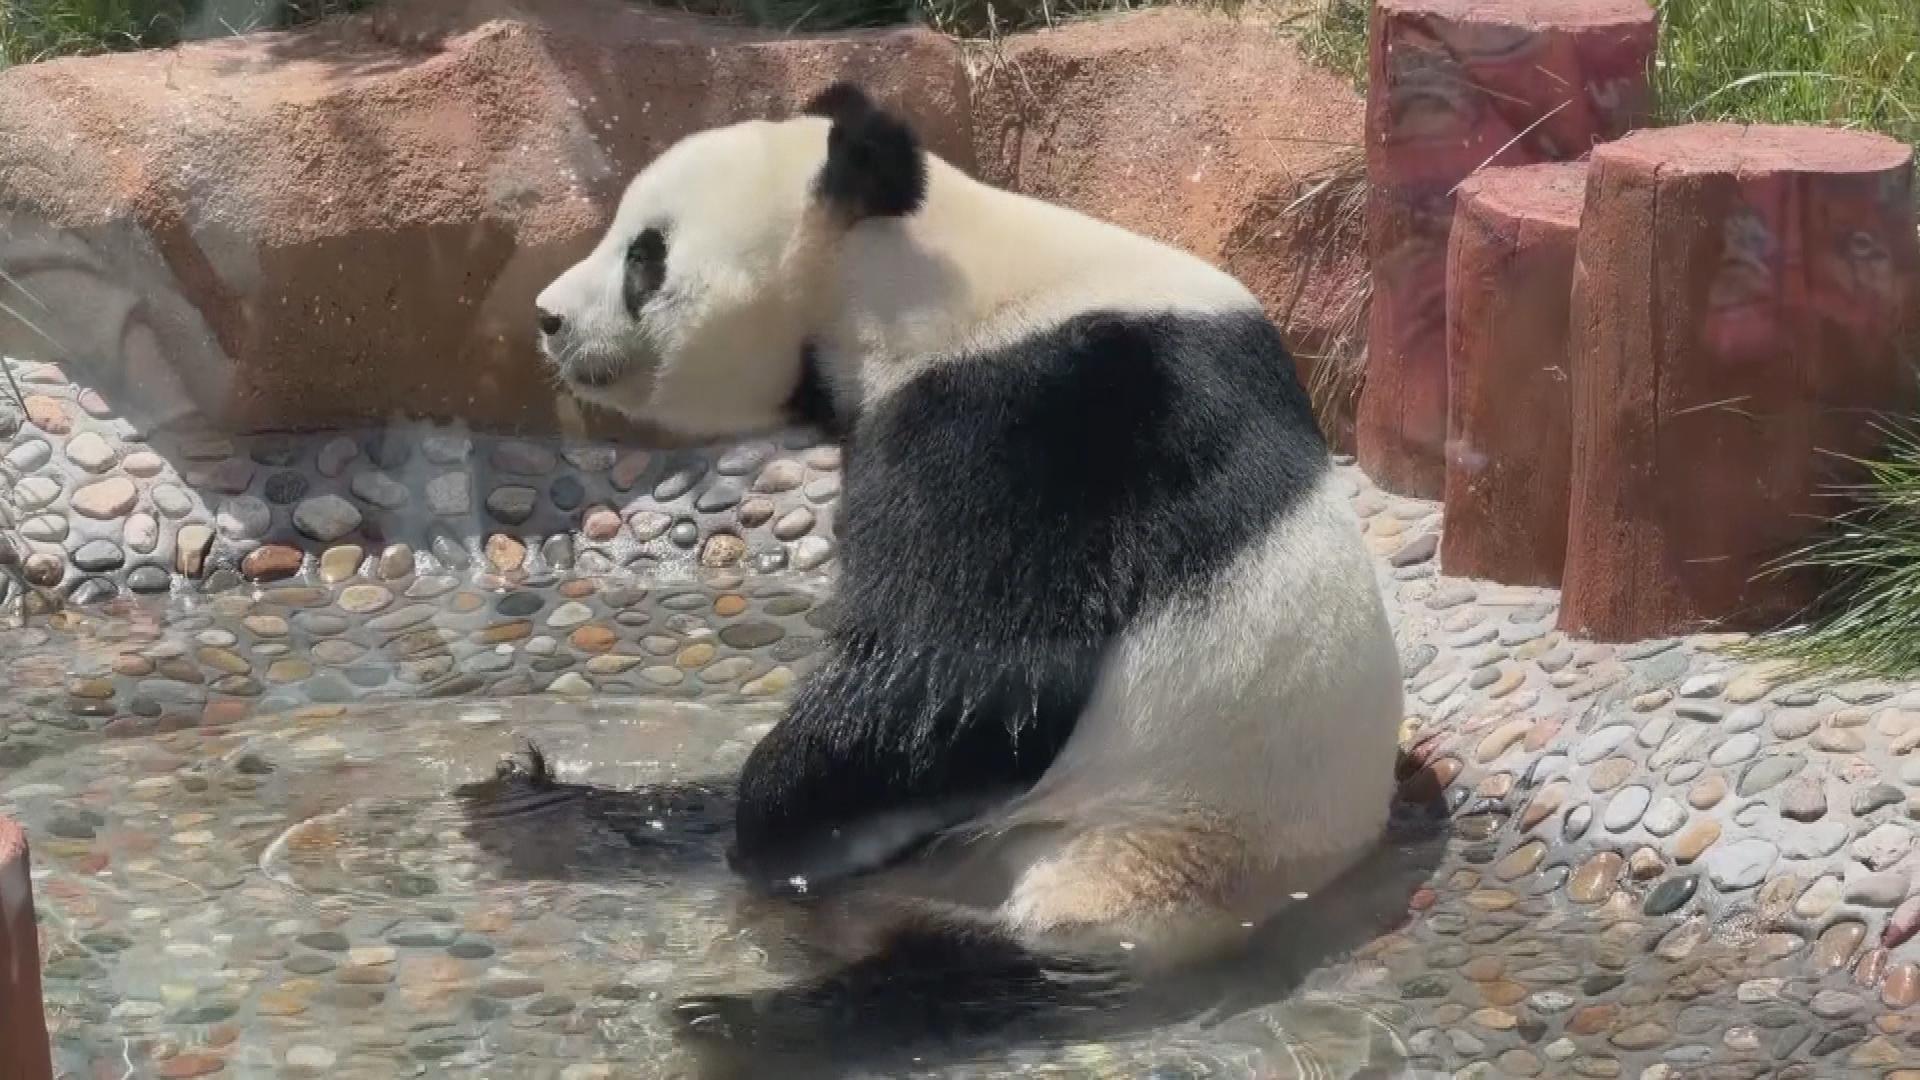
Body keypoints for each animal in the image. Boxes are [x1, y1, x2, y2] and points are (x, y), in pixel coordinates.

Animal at [532, 83, 1405, 1062]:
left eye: (645, 259)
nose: (548, 318)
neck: (916, 266)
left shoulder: (1027, 418)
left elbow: (966, 676)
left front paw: (770, 822)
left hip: (1123, 863)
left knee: (961, 975)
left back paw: (740, 1019)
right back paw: (544, 809)